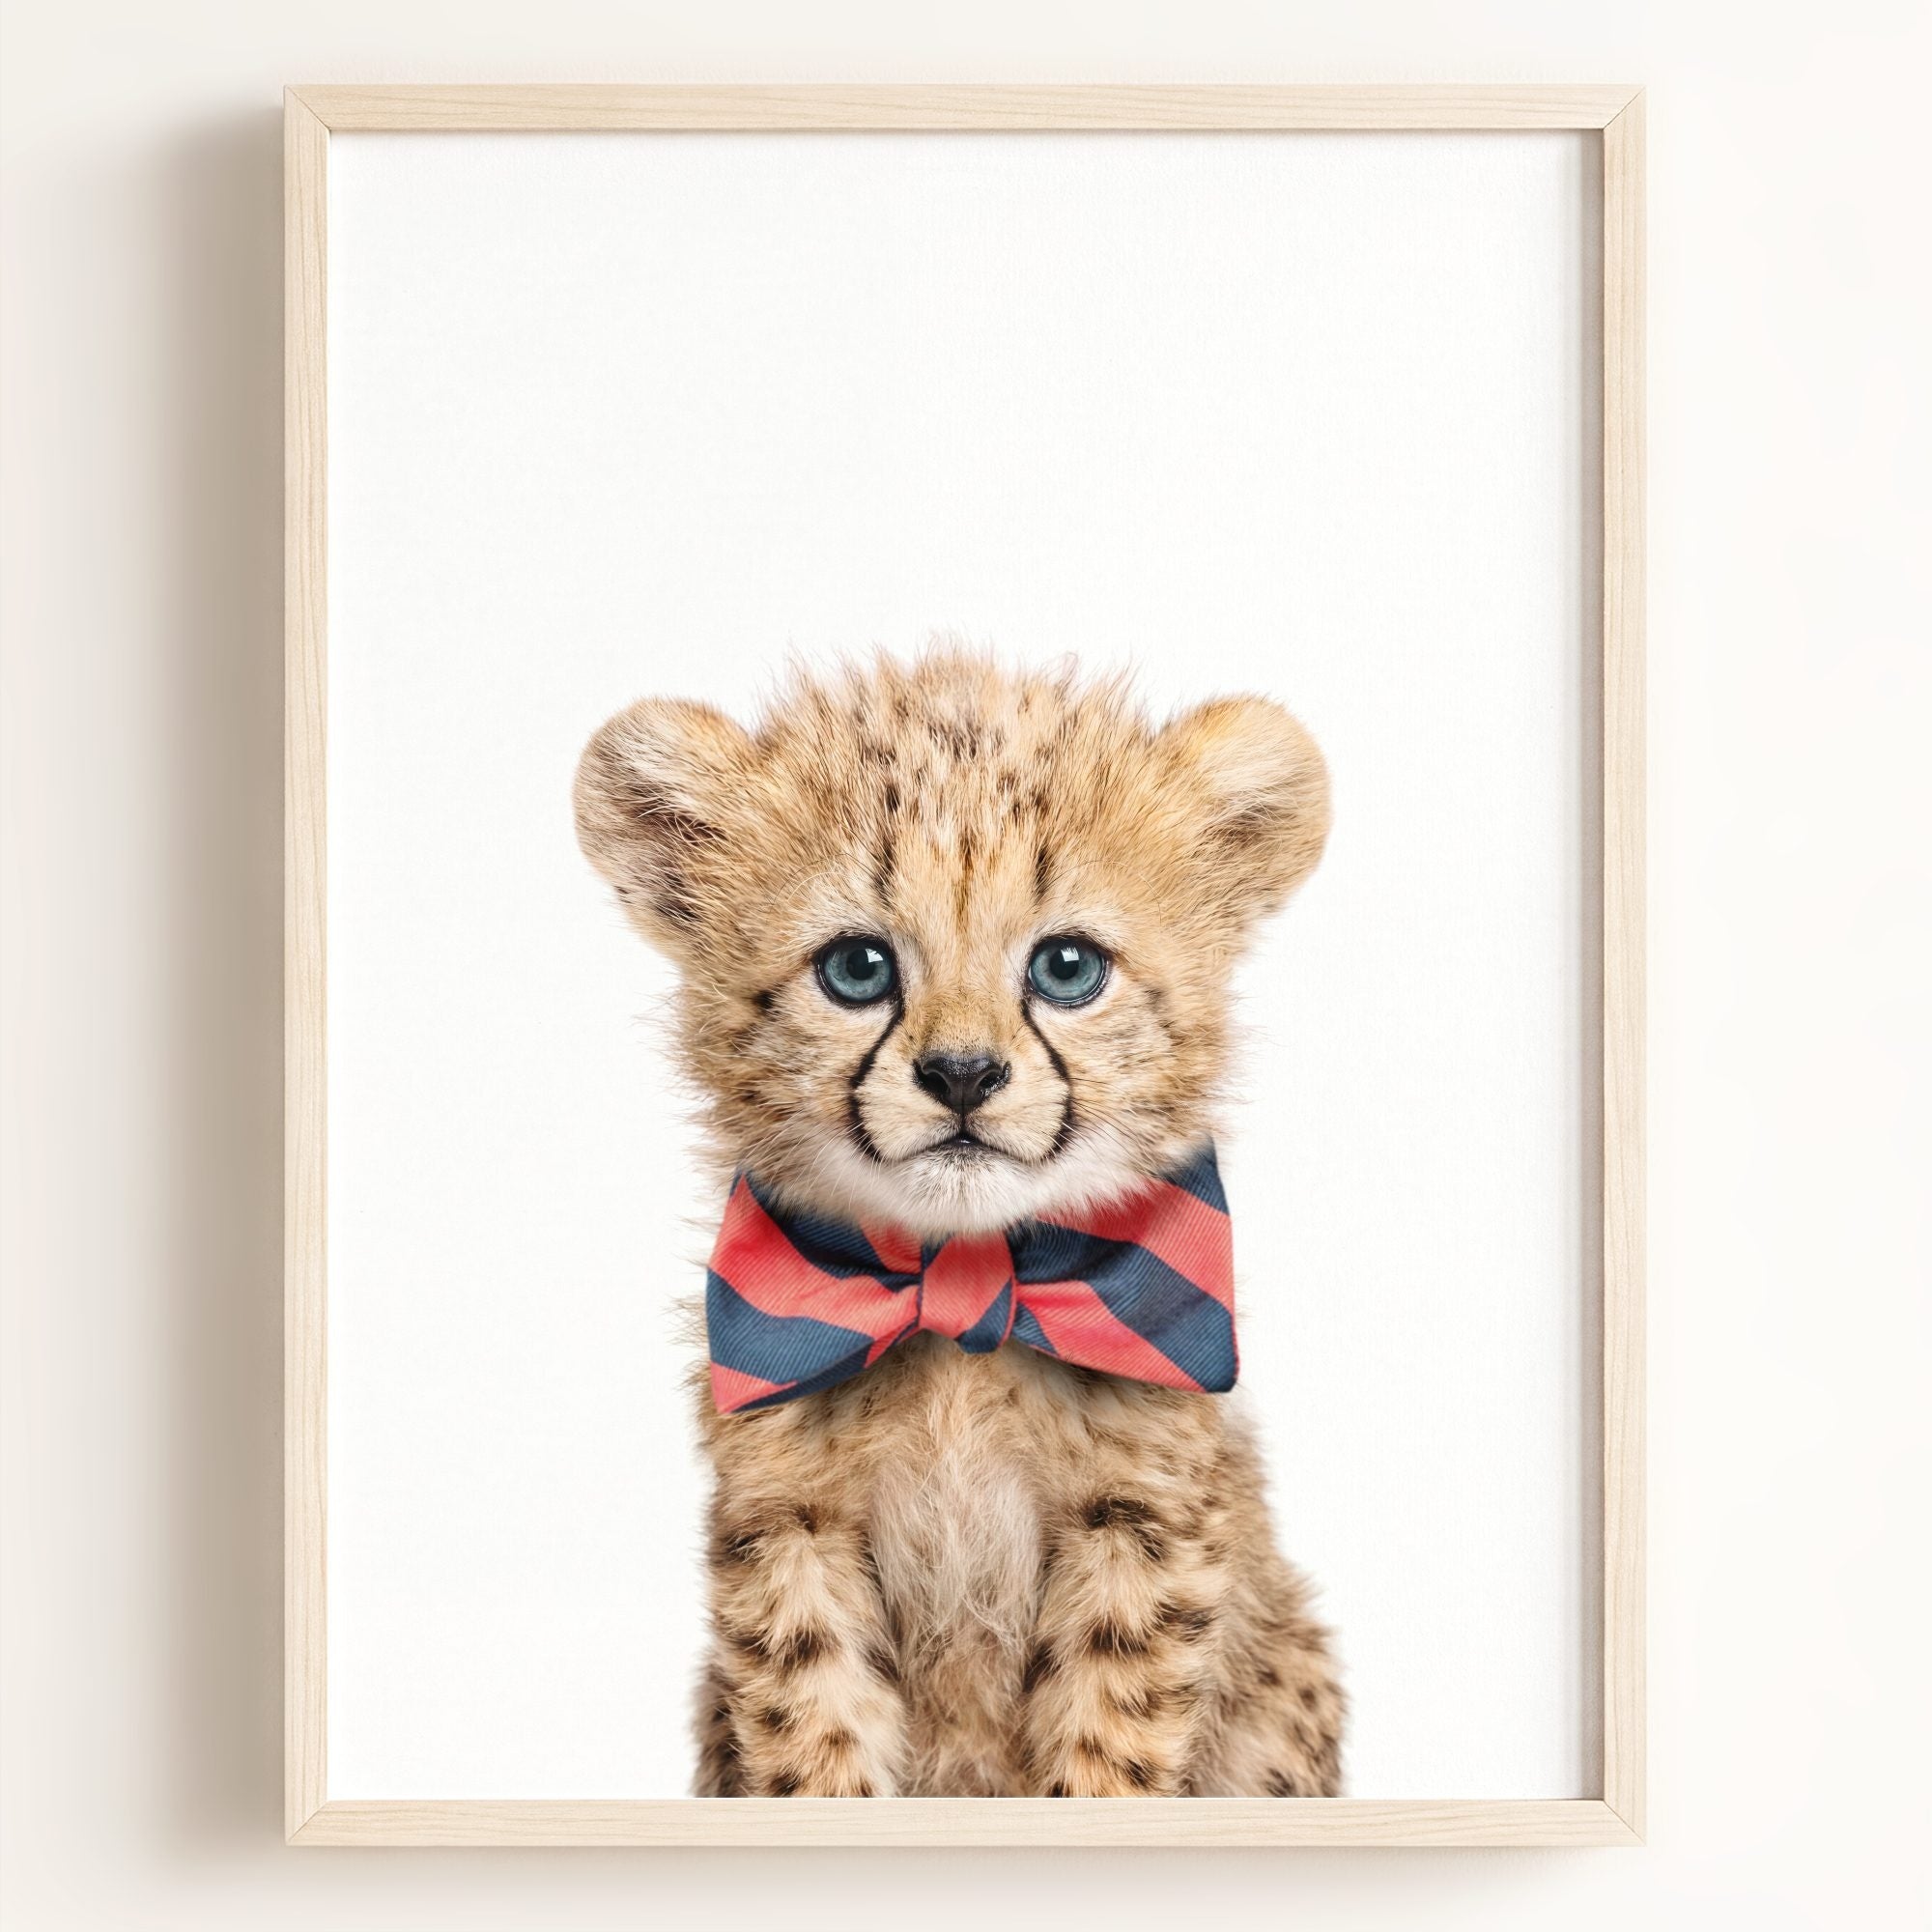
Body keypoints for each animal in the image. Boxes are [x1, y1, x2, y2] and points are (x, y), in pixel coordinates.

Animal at [574, 647, 1344, 1798]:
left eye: (1067, 967)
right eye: (857, 967)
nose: (963, 1074)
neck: (964, 1300)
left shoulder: (1140, 1522)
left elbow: (1108, 1745)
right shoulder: (788, 1524)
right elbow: (813, 1736)